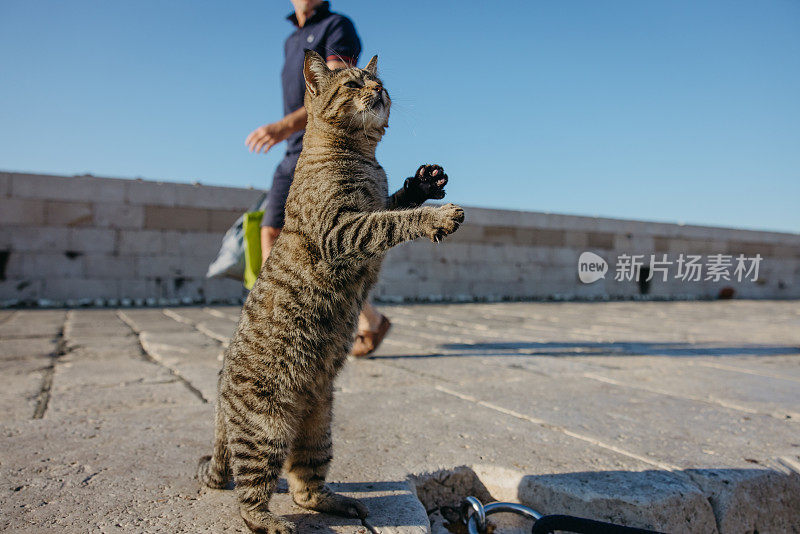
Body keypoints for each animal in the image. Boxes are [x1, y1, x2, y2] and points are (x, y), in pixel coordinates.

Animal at [196, 51, 466, 534]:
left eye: (380, 81)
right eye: (354, 83)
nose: (377, 90)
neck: (362, 158)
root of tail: (221, 399)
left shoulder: (367, 212)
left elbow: (394, 203)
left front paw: (423, 184)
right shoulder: (344, 229)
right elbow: (395, 221)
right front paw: (436, 215)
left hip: (318, 429)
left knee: (304, 486)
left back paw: (338, 502)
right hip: (265, 432)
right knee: (251, 495)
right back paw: (269, 521)